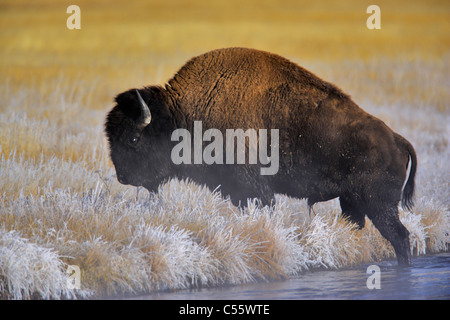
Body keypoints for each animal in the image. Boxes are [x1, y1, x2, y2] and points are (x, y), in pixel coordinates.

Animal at [103, 45, 416, 264]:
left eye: (133, 138)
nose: (123, 177)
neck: (183, 116)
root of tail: (398, 140)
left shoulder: (255, 190)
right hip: (352, 201)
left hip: (378, 203)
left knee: (400, 236)